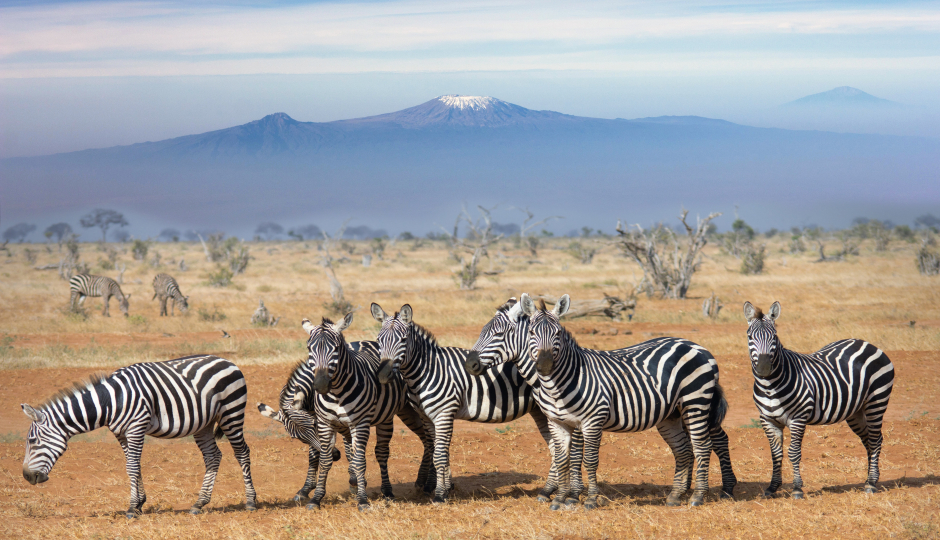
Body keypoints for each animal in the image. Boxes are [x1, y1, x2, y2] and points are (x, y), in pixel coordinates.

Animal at [21, 354, 255, 520]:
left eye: (32, 442)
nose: (26, 476)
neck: (110, 402)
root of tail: (228, 361)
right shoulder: (121, 433)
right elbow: (133, 466)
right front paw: (140, 503)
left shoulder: (136, 427)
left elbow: (132, 466)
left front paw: (133, 508)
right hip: (204, 424)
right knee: (213, 457)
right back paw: (199, 503)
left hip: (231, 413)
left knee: (242, 452)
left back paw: (251, 501)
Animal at [298, 312, 436, 510]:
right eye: (309, 348)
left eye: (336, 349)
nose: (321, 385)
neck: (337, 393)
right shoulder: (325, 423)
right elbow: (325, 460)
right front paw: (316, 498)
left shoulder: (360, 423)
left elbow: (359, 461)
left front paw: (362, 500)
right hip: (405, 412)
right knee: (426, 441)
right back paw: (422, 481)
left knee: (387, 451)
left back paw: (405, 488)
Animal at [370, 302, 584, 504]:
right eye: (379, 341)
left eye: (402, 340)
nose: (383, 375)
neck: (426, 372)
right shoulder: (427, 417)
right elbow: (437, 452)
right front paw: (445, 488)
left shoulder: (444, 414)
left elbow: (439, 455)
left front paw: (440, 495)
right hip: (541, 412)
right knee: (556, 448)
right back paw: (549, 490)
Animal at [466, 298, 740, 508]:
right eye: (482, 332)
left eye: (498, 334)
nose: (471, 364)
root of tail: (696, 345)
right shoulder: (559, 420)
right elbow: (564, 457)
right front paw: (562, 496)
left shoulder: (588, 421)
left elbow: (582, 458)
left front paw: (578, 497)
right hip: (672, 414)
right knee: (685, 449)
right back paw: (677, 495)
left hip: (697, 403)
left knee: (707, 444)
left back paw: (707, 493)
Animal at [740, 300, 896, 498]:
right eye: (750, 336)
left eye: (774, 336)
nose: (764, 367)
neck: (769, 386)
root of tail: (868, 343)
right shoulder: (767, 419)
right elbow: (776, 454)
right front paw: (772, 488)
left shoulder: (798, 418)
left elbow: (794, 453)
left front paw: (797, 488)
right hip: (856, 412)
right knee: (869, 439)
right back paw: (869, 479)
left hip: (876, 402)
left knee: (876, 440)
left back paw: (872, 484)